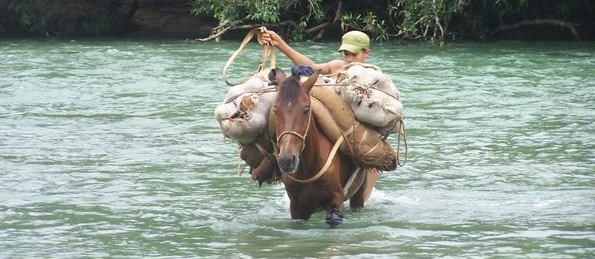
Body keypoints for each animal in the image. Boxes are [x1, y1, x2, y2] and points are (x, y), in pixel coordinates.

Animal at [270, 67, 378, 228]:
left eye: (306, 109)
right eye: (276, 109)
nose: (287, 160)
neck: (309, 168)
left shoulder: (336, 199)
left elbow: (333, 217)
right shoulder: (297, 208)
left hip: (359, 192)